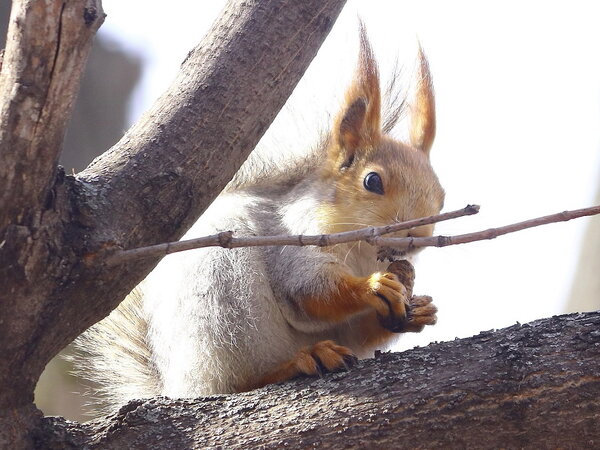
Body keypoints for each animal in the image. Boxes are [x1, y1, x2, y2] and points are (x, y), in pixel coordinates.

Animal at [72, 26, 446, 414]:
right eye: (373, 181)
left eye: (441, 195)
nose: (417, 232)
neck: (361, 251)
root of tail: (179, 384)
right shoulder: (292, 242)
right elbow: (310, 292)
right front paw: (372, 287)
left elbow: (359, 331)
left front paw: (413, 301)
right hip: (224, 304)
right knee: (239, 382)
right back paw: (300, 361)